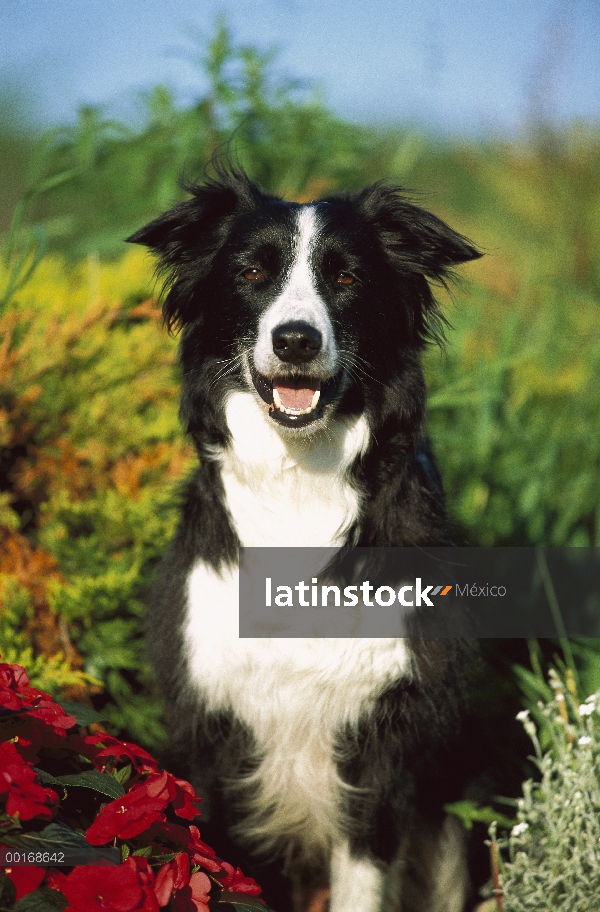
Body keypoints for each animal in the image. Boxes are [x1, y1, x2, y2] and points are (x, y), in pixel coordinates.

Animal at [129, 166, 480, 912]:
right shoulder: (217, 733)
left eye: (346, 277)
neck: (299, 479)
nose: (296, 340)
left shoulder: (381, 739)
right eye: (252, 272)